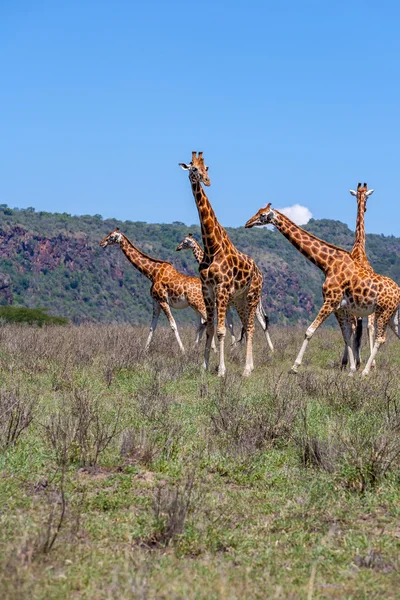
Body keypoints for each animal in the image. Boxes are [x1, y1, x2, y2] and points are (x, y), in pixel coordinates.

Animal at [180, 151, 262, 376]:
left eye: (206, 167)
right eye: (194, 168)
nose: (207, 181)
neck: (211, 246)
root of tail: (260, 272)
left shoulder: (222, 289)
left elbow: (221, 331)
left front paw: (221, 370)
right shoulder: (207, 290)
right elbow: (209, 328)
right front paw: (204, 366)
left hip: (252, 295)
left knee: (251, 327)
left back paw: (247, 370)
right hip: (240, 300)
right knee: (246, 327)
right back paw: (250, 366)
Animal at [245, 204, 400, 378]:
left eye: (262, 215)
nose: (248, 223)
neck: (327, 264)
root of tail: (398, 291)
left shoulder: (330, 302)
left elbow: (309, 331)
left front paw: (294, 367)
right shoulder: (339, 308)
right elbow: (346, 336)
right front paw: (351, 370)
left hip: (383, 312)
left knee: (381, 338)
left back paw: (365, 371)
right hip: (392, 314)